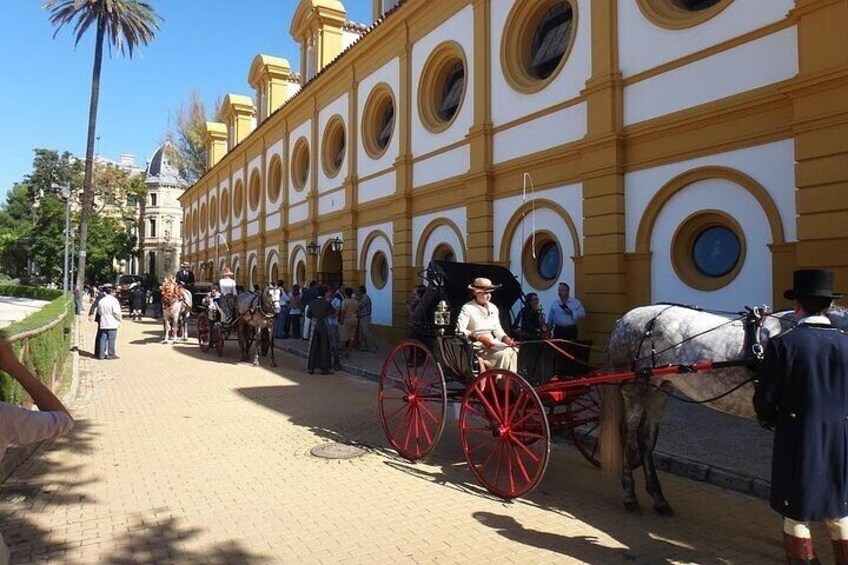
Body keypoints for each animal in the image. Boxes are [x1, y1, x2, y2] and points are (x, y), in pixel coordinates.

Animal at [596, 304, 848, 516]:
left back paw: (658, 497)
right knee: (627, 438)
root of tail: (625, 318)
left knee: (645, 441)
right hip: (636, 390)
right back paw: (630, 494)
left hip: (658, 389)